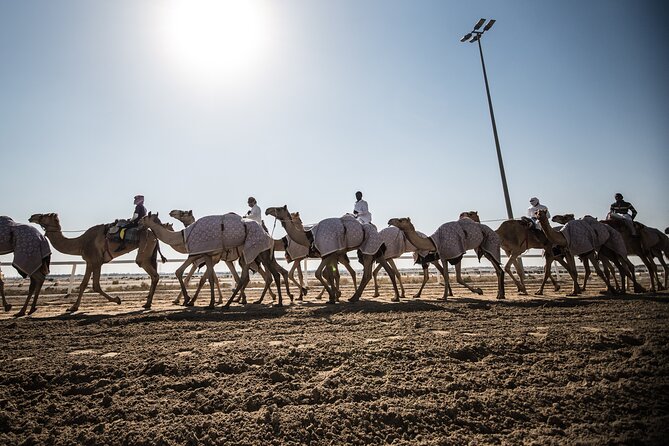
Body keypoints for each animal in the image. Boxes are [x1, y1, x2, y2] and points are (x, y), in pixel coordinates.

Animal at [28, 213, 165, 312]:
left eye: (44, 215)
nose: (32, 217)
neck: (81, 243)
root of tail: (154, 235)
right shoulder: (89, 262)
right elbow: (83, 284)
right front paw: (73, 307)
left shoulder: (97, 261)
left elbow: (96, 285)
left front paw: (117, 299)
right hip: (150, 252)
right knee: (154, 274)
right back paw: (147, 303)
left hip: (145, 251)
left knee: (152, 273)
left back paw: (147, 304)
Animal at [265, 205, 399, 303]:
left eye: (279, 208)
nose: (267, 210)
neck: (309, 237)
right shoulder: (328, 254)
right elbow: (328, 274)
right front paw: (332, 297)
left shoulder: (326, 254)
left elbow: (318, 273)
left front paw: (332, 295)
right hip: (374, 252)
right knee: (386, 271)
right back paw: (394, 297)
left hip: (367, 249)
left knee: (366, 274)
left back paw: (355, 297)